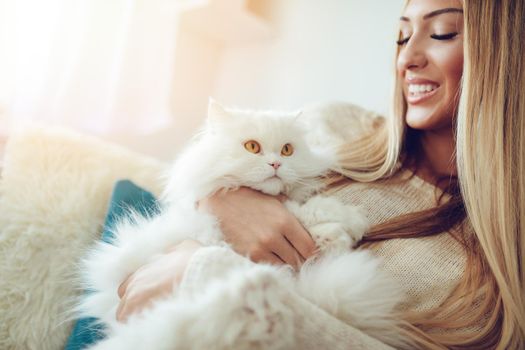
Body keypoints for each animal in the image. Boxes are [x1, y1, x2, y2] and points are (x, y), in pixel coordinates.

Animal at [78, 100, 406, 348]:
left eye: (287, 150)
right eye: (252, 147)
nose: (276, 164)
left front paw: (340, 233)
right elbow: (300, 210)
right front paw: (349, 222)